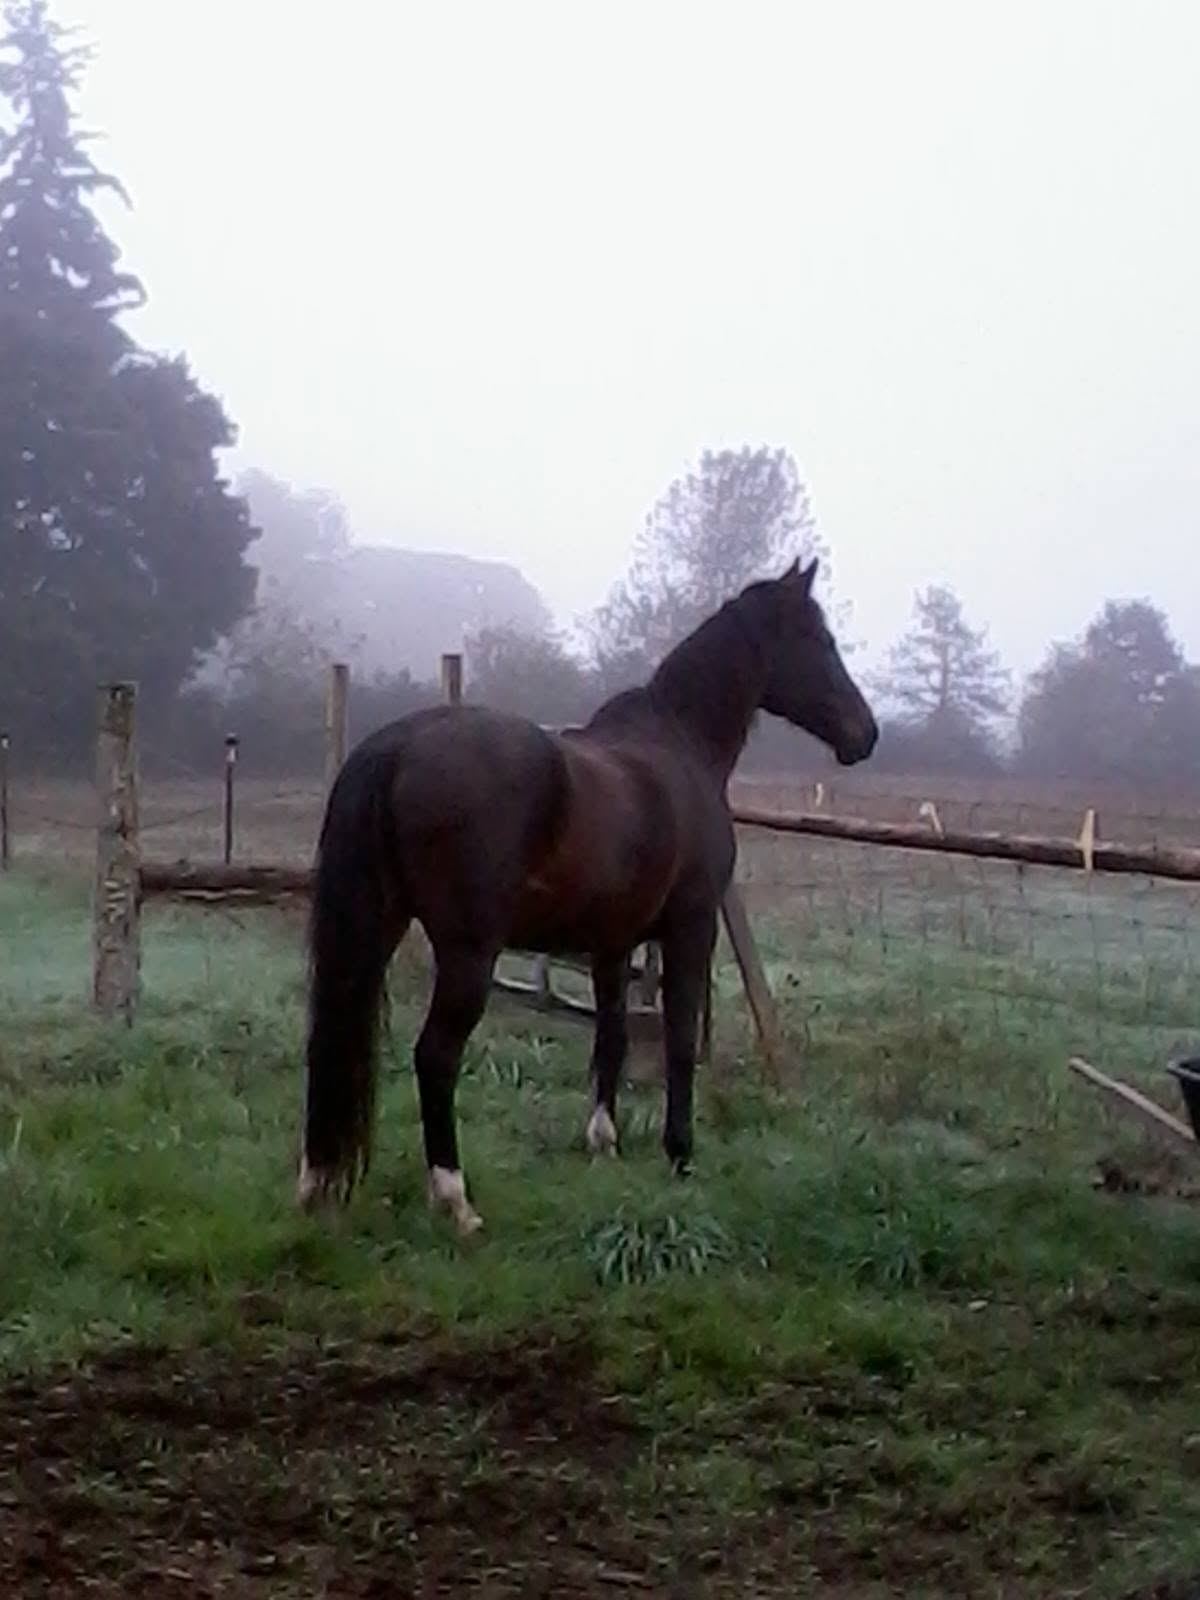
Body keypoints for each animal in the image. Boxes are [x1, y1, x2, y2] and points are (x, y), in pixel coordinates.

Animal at [297, 557, 877, 1233]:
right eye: (818, 639)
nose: (865, 734)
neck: (680, 744)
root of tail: (396, 747)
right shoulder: (692, 927)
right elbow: (679, 1040)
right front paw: (681, 1155)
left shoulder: (612, 944)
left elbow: (612, 1040)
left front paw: (605, 1142)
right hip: (468, 953)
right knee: (435, 1056)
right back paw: (457, 1202)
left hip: (377, 928)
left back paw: (317, 1185)